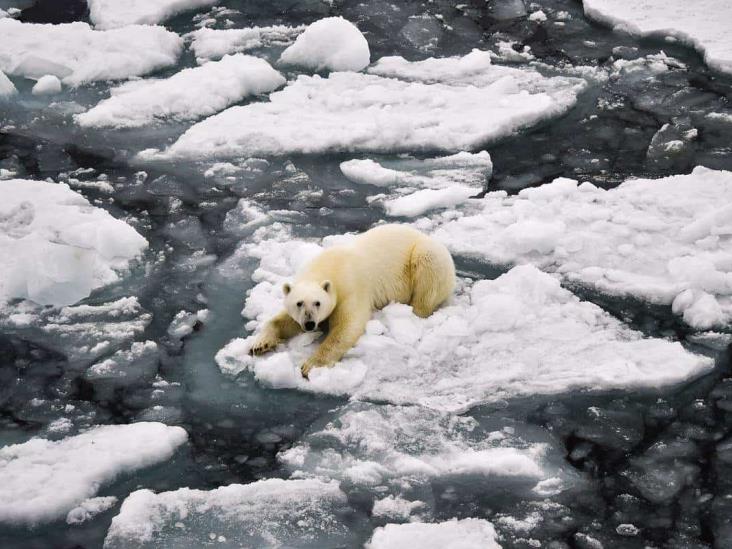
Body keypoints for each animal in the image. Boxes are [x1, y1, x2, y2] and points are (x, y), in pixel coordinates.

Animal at [254, 225, 454, 374]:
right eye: (299, 303)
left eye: (318, 303)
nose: (310, 324)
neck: (328, 266)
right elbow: (283, 321)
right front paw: (259, 345)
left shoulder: (350, 288)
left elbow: (347, 326)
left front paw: (310, 365)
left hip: (426, 256)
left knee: (427, 277)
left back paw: (416, 310)